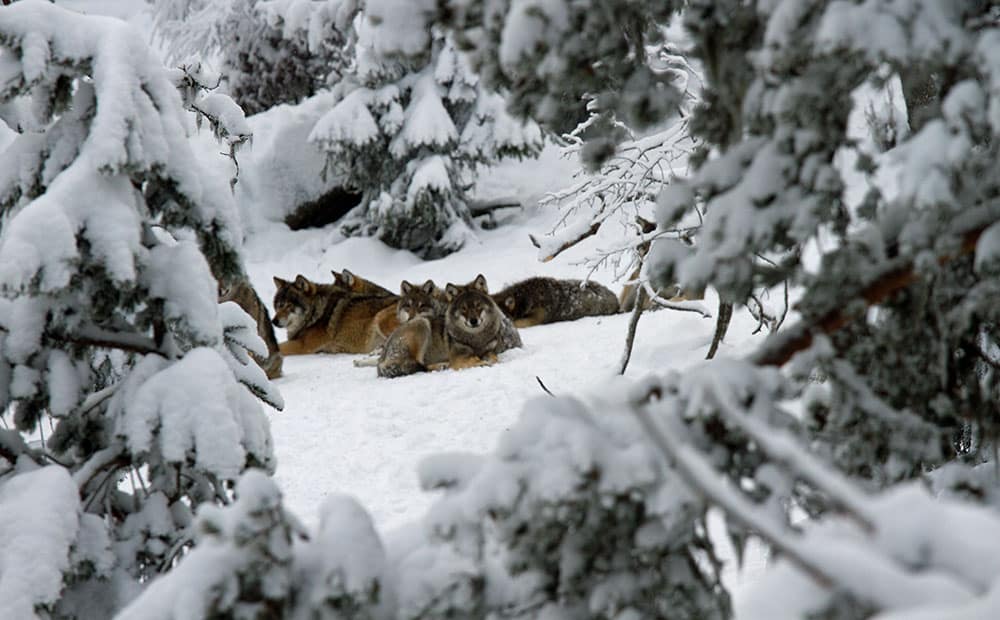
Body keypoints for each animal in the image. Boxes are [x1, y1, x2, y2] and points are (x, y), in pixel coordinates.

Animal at [274, 274, 402, 356]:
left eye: (289, 305)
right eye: (278, 305)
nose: (273, 321)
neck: (315, 313)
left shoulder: (303, 345)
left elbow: (278, 348)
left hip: (380, 318)